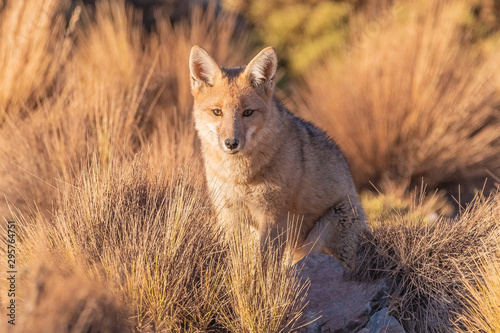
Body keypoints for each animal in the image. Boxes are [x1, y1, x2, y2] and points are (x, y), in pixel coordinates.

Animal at [189, 45, 366, 268]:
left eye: (248, 112)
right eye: (217, 112)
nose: (231, 143)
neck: (239, 176)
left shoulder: (274, 215)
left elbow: (265, 263)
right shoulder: (228, 213)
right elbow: (234, 259)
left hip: (324, 230)